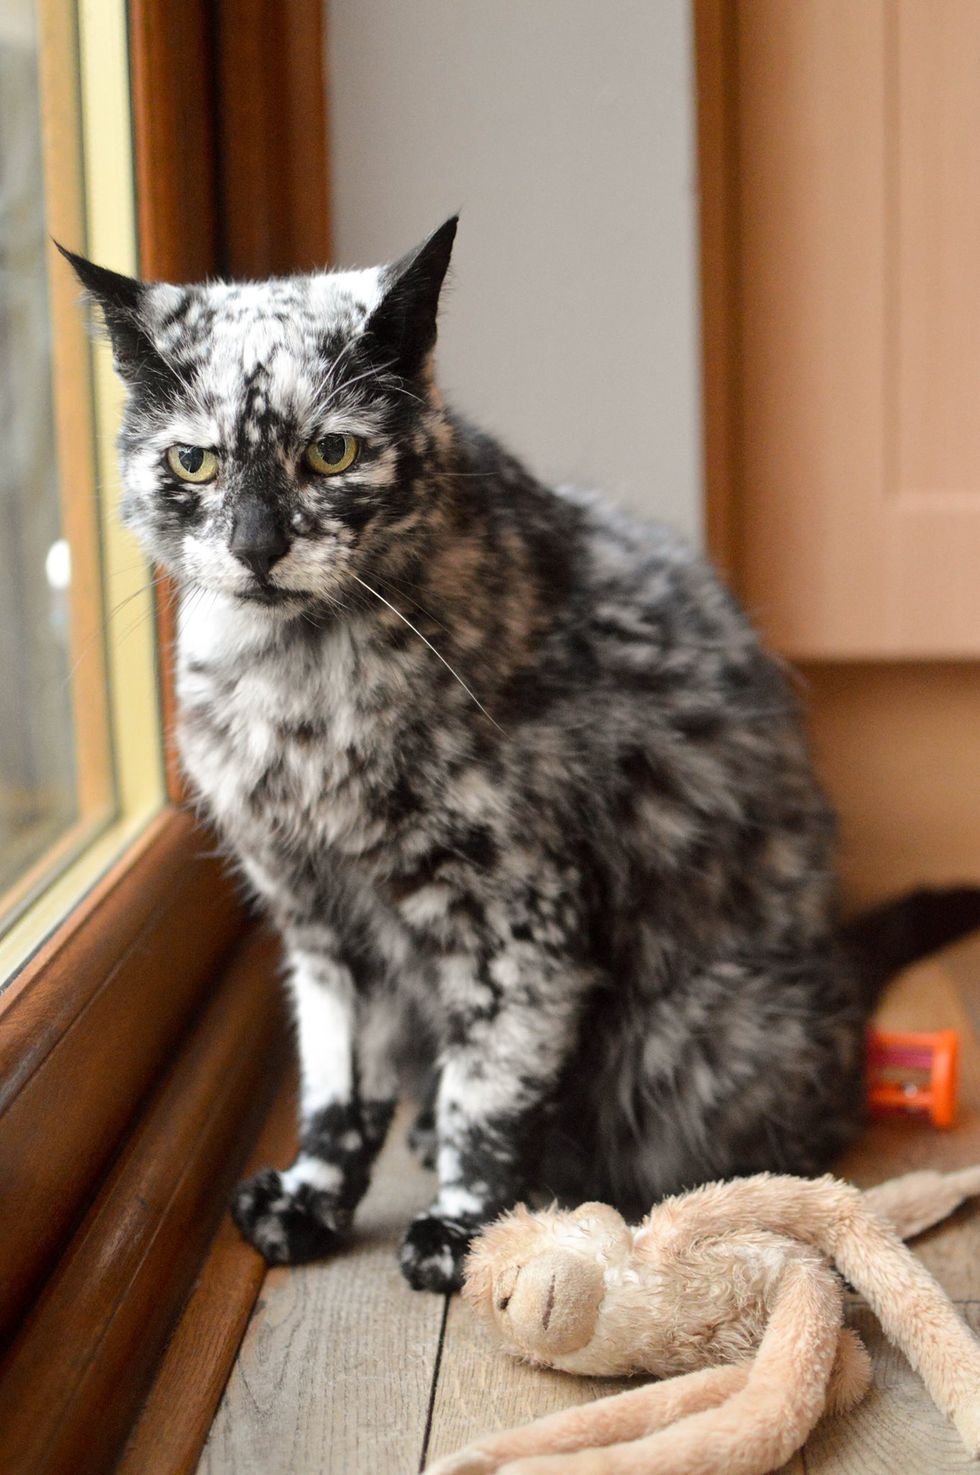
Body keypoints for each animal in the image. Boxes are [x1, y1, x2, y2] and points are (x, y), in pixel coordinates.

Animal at [59, 218, 980, 1292]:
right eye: (195, 463)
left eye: (331, 452)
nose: (255, 545)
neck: (292, 697)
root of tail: (835, 958)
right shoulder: (324, 931)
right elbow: (337, 1088)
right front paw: (312, 1199)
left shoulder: (518, 923)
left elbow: (490, 1093)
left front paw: (464, 1231)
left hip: (693, 1041)